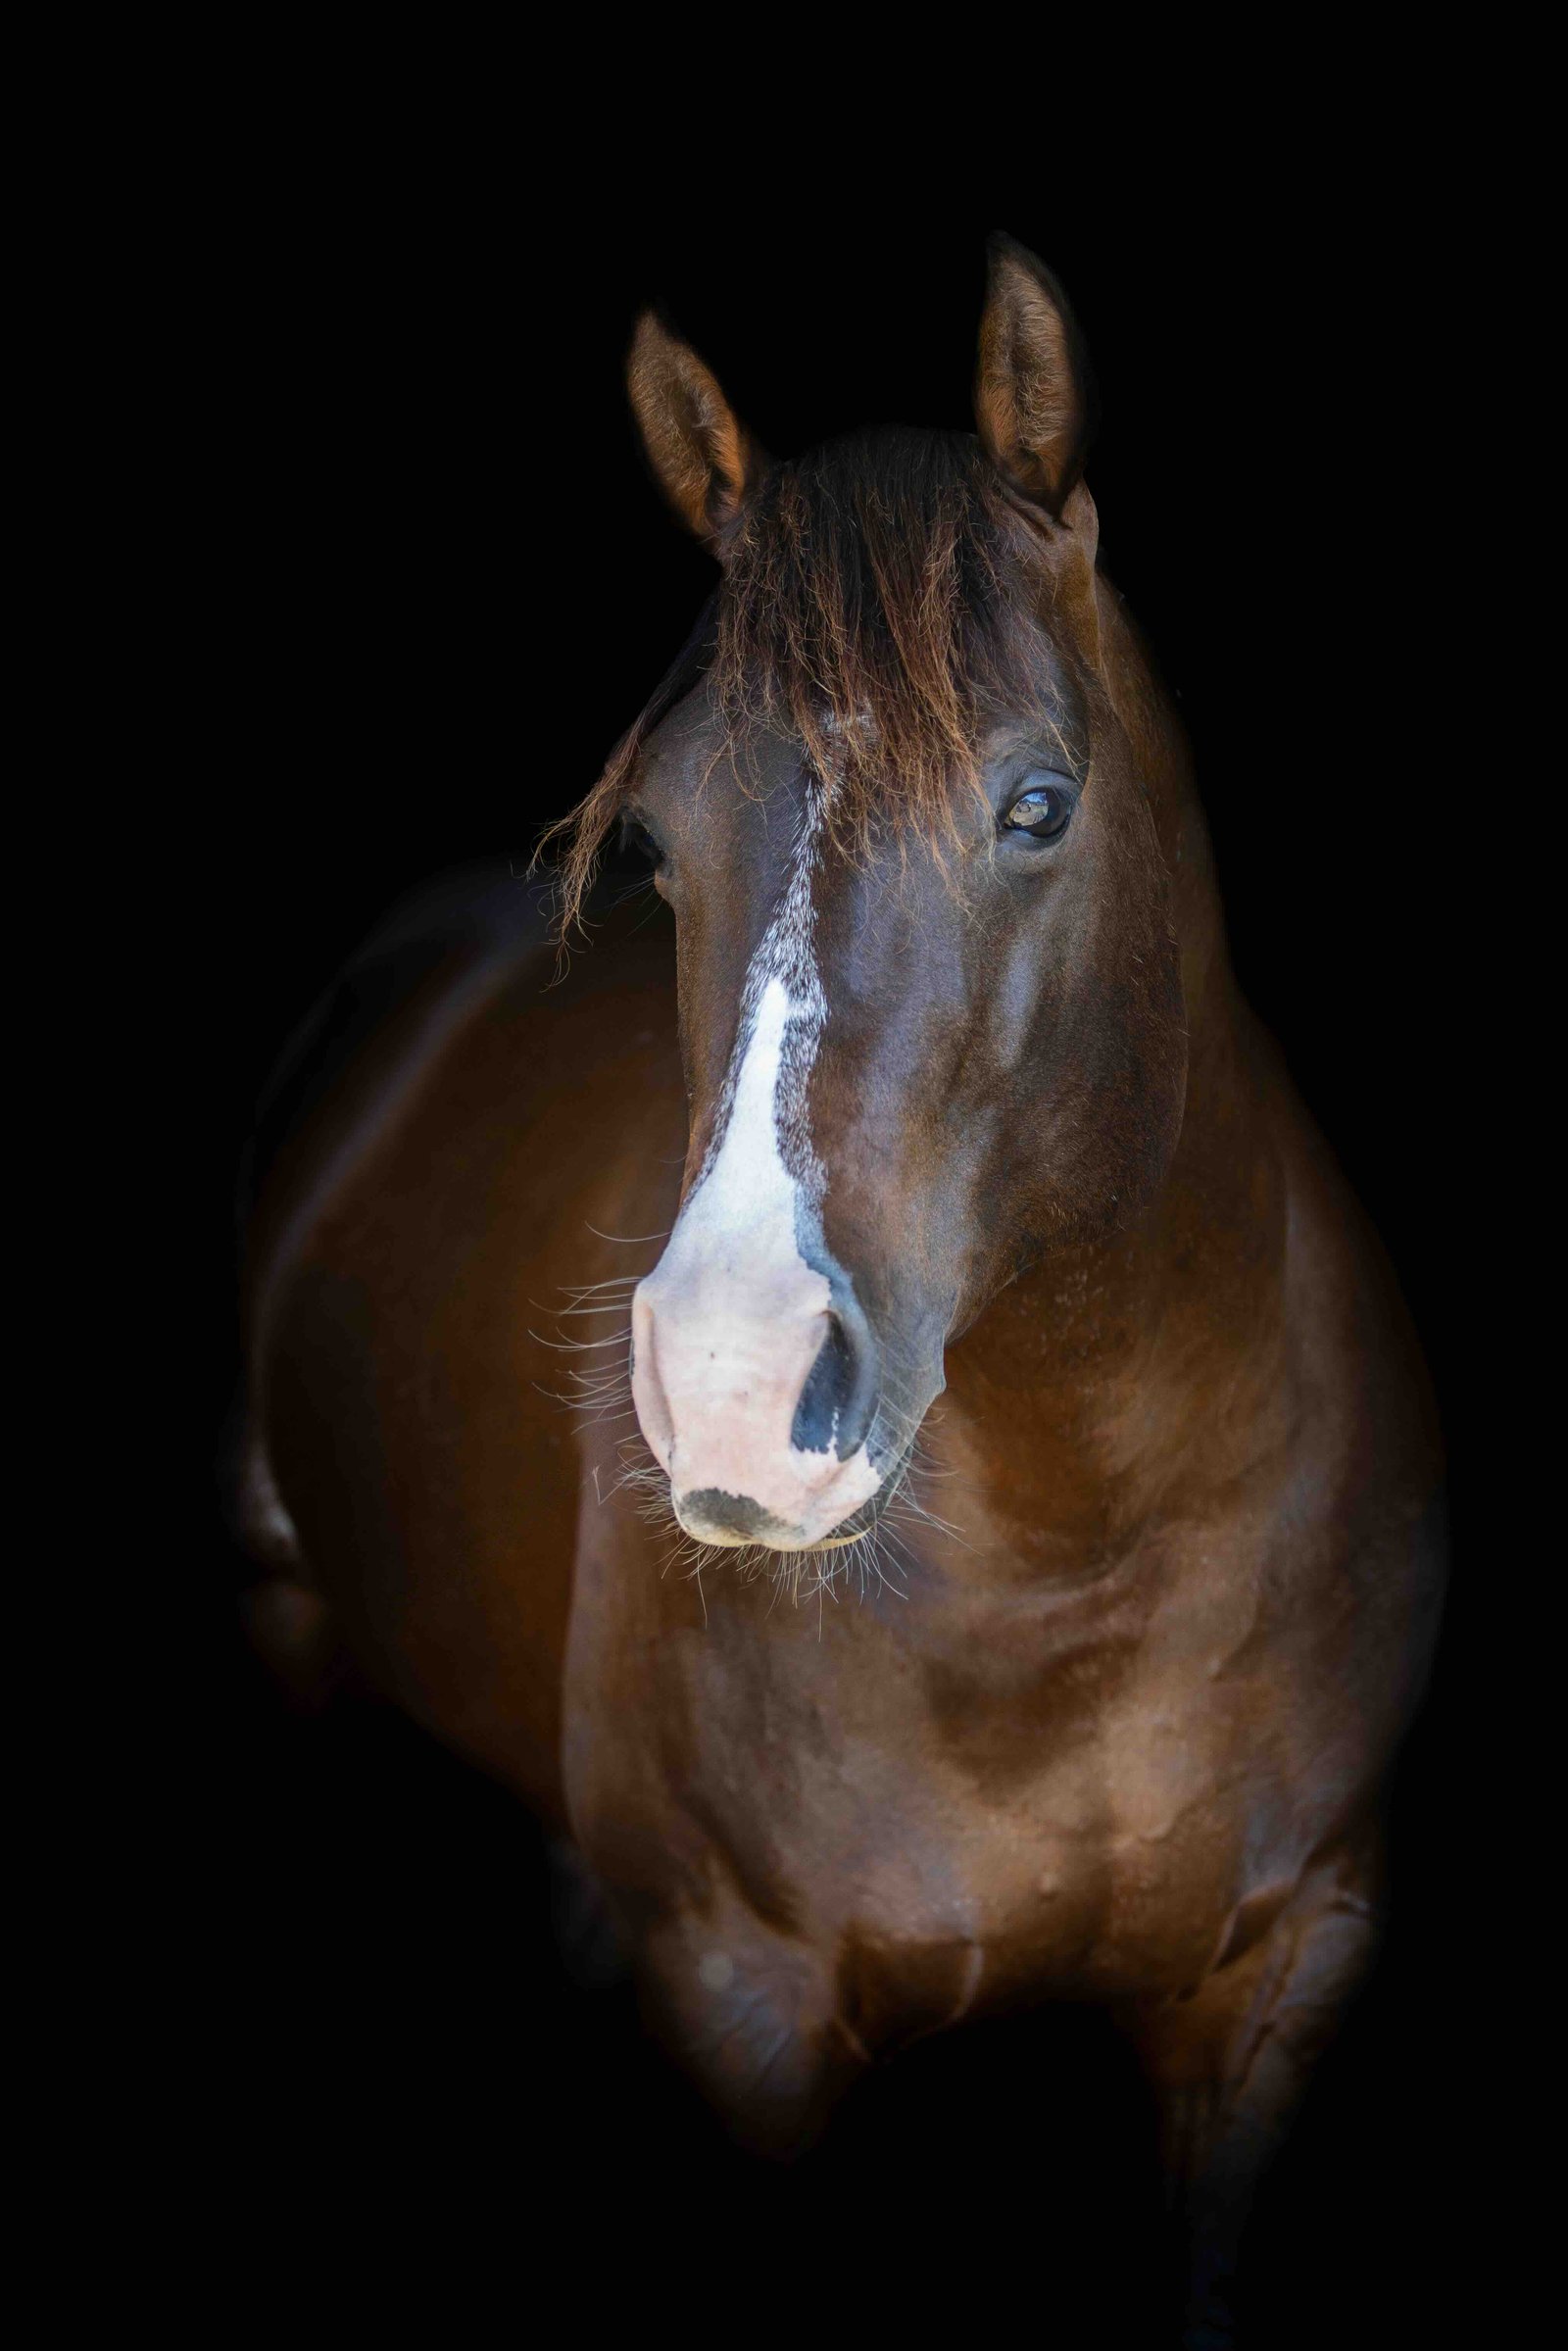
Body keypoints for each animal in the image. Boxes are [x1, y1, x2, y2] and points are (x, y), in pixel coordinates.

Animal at [236, 236, 1445, 2343]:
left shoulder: (1285, 1970)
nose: (734, 1383)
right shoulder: (746, 2001)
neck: (1088, 1569)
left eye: (1036, 803)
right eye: (653, 841)